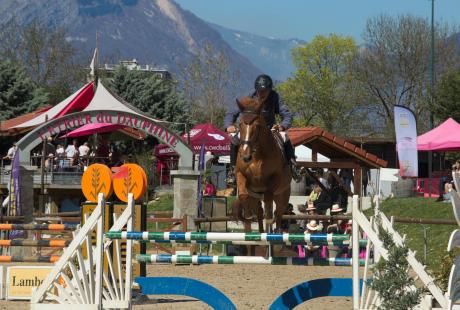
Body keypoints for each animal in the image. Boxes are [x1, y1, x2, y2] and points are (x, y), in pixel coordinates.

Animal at [232, 95, 292, 231]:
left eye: (258, 126)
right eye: (240, 124)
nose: (245, 156)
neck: (257, 155)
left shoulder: (274, 179)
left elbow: (269, 203)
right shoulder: (241, 174)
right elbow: (243, 196)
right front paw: (246, 216)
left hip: (283, 194)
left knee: (278, 213)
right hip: (256, 196)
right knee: (260, 211)